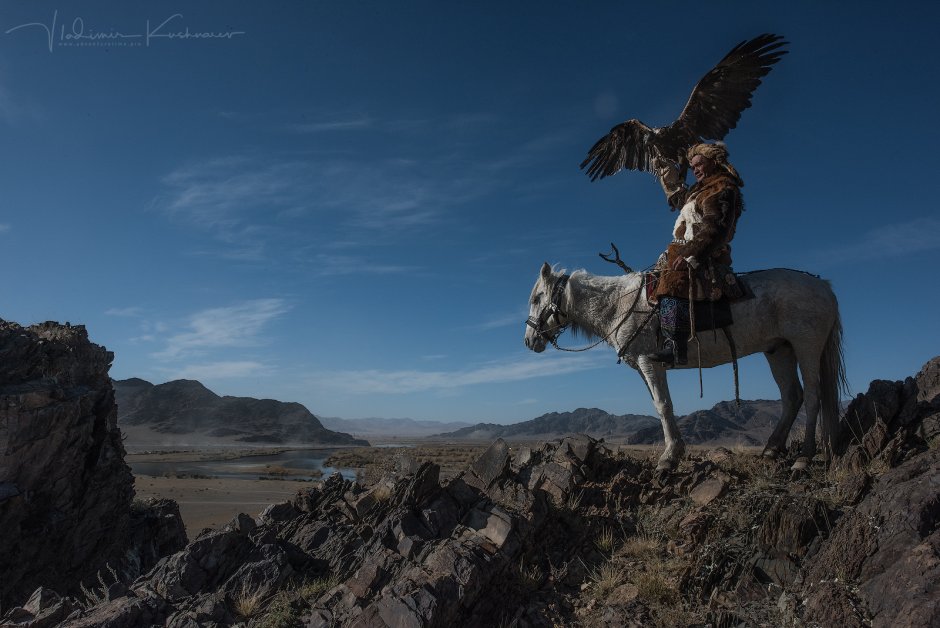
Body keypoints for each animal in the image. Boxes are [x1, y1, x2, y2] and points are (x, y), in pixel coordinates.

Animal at [524, 262, 848, 472]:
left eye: (538, 297)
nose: (529, 340)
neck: (618, 305)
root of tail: (824, 286)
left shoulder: (650, 361)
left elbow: (663, 405)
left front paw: (668, 458)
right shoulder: (646, 366)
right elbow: (659, 405)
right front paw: (674, 452)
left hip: (806, 345)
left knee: (813, 395)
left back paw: (803, 458)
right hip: (779, 350)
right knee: (792, 396)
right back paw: (771, 449)